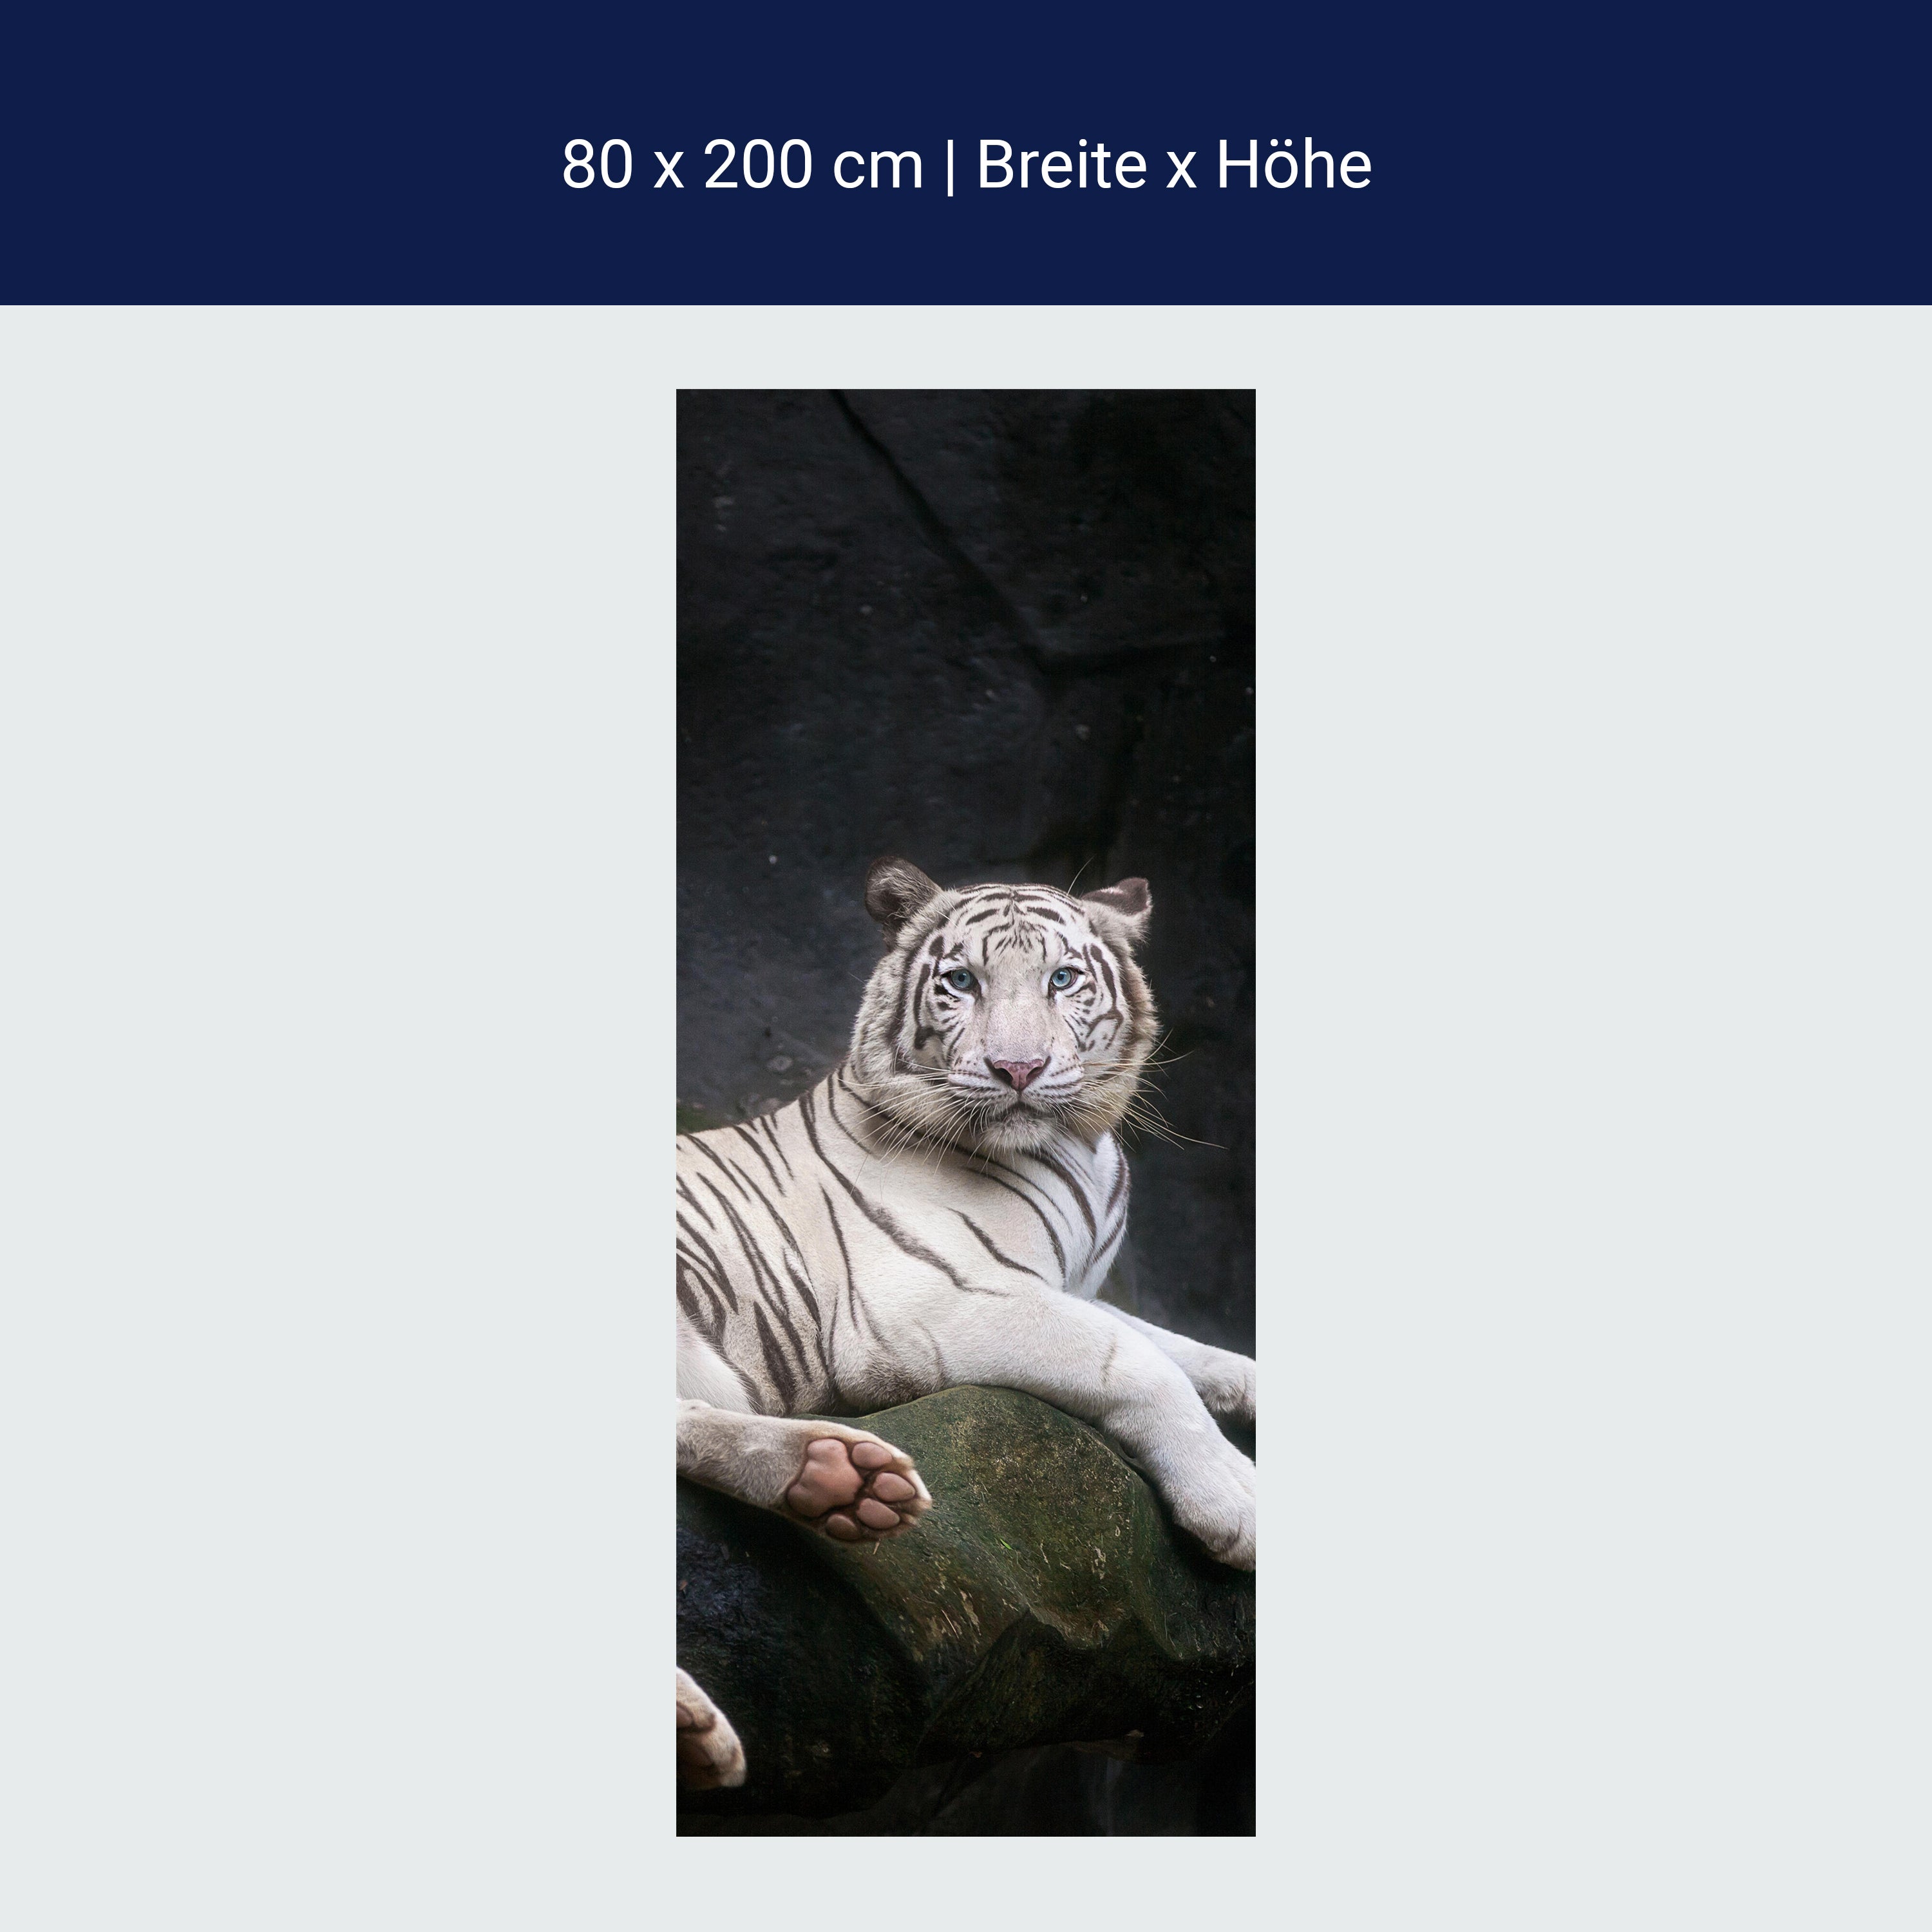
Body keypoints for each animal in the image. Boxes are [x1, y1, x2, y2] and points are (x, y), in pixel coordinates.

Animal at [674, 857, 1257, 1790]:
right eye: (962, 982)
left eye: (1063, 980)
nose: (1018, 1068)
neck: (1075, 1150)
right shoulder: (930, 1300)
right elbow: (1135, 1360)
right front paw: (1238, 1501)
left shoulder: (1064, 1285)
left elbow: (1187, 1349)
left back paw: (835, 1483)